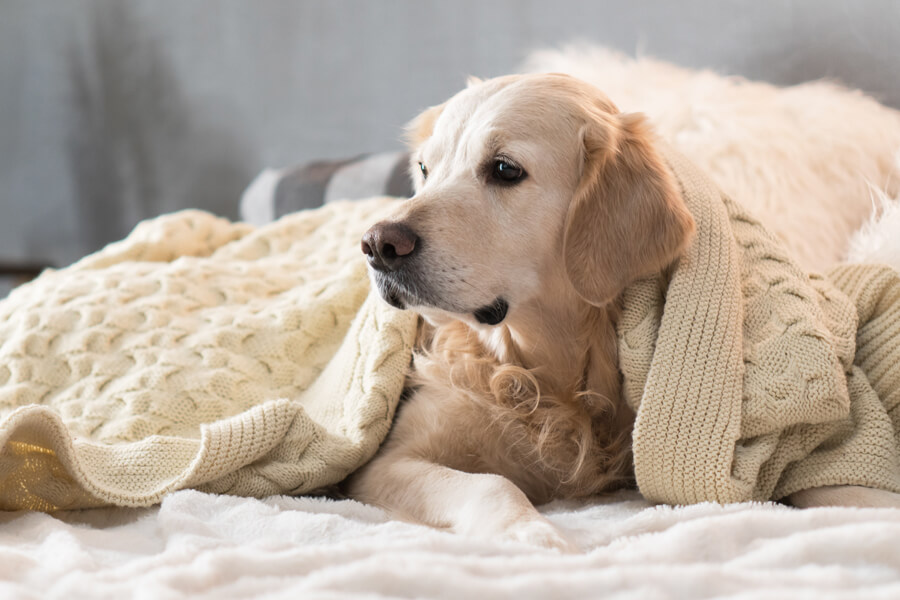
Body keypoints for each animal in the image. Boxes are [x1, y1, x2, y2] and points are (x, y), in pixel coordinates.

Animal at [344, 72, 900, 552]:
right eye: (424, 169)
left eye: (505, 169)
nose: (377, 243)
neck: (555, 368)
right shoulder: (384, 464)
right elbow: (491, 484)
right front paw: (532, 532)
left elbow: (830, 483)